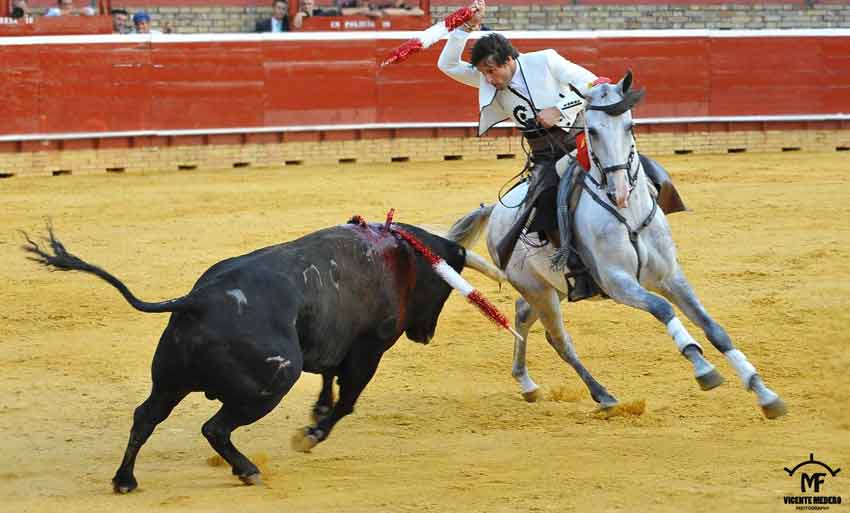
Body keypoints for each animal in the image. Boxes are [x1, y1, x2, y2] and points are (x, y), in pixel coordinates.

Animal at [23, 220, 494, 492]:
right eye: (446, 287)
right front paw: (311, 435)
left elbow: (328, 382)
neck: (401, 255)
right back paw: (248, 470)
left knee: (145, 417)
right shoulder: (368, 349)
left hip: (170, 380)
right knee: (215, 427)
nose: (425, 335)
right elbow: (346, 401)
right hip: (272, 384)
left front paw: (315, 416)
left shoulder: (331, 345)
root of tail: (200, 300)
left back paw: (125, 480)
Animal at [448, 72, 784, 420]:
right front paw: (703, 368)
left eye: (630, 126)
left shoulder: (670, 276)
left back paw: (527, 383)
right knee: (559, 339)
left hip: (551, 287)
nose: (620, 191)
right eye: (592, 131)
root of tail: (496, 211)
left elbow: (714, 328)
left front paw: (763, 392)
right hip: (538, 289)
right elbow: (662, 308)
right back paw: (603, 395)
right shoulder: (617, 282)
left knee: (522, 315)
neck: (629, 215)